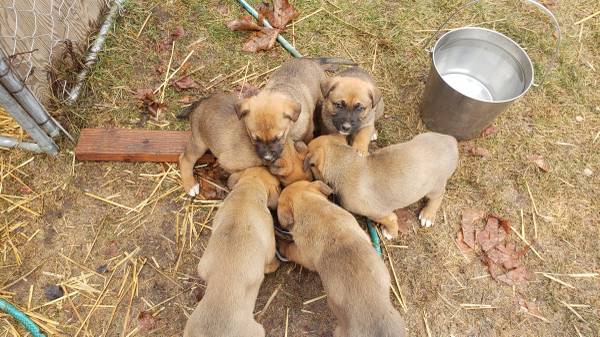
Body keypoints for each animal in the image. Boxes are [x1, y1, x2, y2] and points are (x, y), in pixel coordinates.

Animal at [178, 93, 310, 196]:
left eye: (279, 137)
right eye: (255, 138)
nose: (267, 157)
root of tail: (201, 102)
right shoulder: (226, 161)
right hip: (199, 144)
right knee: (184, 159)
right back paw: (190, 185)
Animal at [304, 133, 460, 238]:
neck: (347, 164)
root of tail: (451, 142)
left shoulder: (377, 213)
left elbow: (392, 220)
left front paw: (391, 233)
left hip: (435, 187)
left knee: (437, 197)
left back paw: (428, 215)